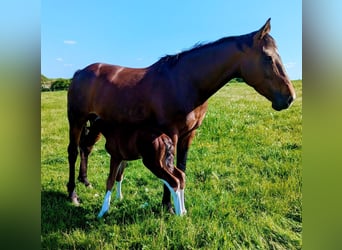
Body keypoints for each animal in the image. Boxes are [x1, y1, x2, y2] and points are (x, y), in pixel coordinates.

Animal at [67, 18, 294, 212]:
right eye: (268, 57)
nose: (289, 97)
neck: (186, 82)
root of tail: (80, 72)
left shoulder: (189, 134)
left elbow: (180, 167)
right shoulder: (171, 133)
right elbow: (170, 168)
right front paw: (167, 206)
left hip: (96, 123)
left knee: (86, 147)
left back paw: (85, 181)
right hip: (77, 120)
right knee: (73, 152)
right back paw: (73, 194)